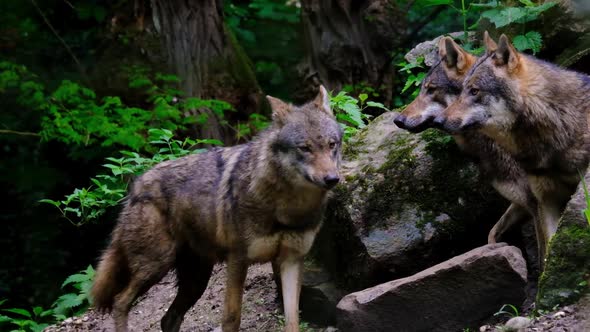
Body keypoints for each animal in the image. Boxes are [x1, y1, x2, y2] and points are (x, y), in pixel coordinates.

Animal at [90, 86, 344, 332]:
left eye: (332, 144)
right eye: (305, 148)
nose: (332, 179)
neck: (286, 207)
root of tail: (136, 186)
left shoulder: (291, 260)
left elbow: (293, 321)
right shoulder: (238, 260)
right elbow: (231, 319)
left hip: (196, 280)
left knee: (168, 318)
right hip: (156, 266)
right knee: (120, 302)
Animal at [396, 37, 544, 254]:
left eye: (431, 89)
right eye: (422, 89)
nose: (397, 120)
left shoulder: (539, 204)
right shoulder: (522, 202)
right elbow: (492, 232)